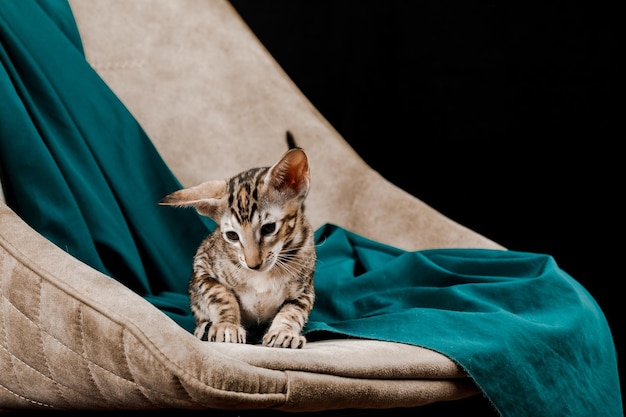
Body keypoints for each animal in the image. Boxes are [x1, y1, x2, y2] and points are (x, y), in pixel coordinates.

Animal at [158, 131, 314, 348]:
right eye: (232, 235)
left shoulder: (305, 290)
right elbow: (221, 297)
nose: (253, 264)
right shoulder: (202, 266)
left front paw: (284, 332)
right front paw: (227, 325)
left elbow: (293, 311)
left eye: (268, 228)